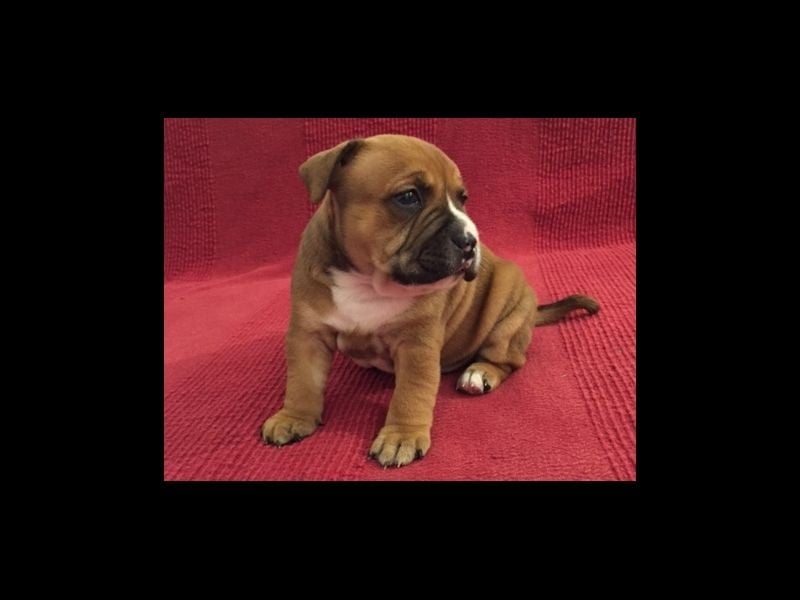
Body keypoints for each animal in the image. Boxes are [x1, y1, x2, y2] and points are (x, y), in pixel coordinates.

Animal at [261, 134, 599, 467]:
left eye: (463, 198)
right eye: (409, 197)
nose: (470, 241)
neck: (367, 281)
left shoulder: (417, 346)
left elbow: (411, 394)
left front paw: (402, 437)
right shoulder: (308, 335)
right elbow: (303, 381)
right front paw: (294, 417)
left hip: (509, 315)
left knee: (508, 360)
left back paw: (480, 373)